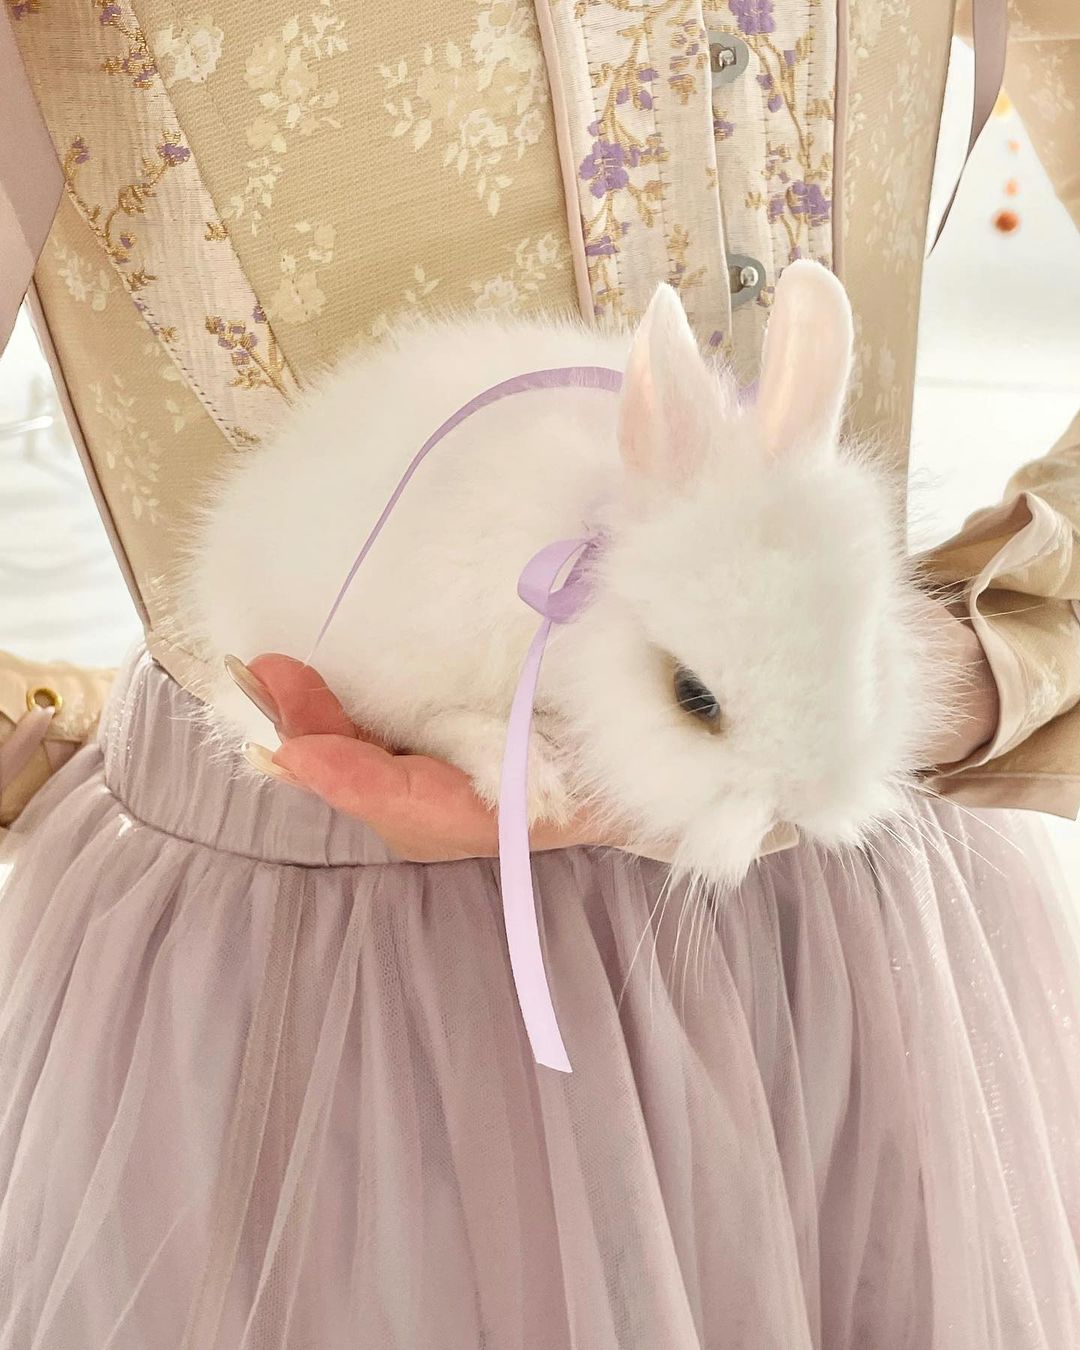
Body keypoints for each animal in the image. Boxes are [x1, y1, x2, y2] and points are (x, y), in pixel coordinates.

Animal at [181, 260, 948, 885]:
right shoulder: (405, 664)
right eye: (691, 697)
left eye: (869, 660)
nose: (803, 807)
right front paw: (530, 777)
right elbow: (438, 721)